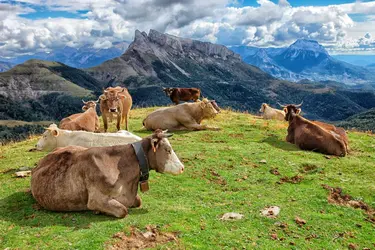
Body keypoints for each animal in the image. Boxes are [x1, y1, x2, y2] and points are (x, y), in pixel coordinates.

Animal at [30, 130, 185, 218]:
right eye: (168, 150)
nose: (182, 168)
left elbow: (138, 201)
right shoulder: (95, 199)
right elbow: (123, 211)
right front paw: (100, 211)